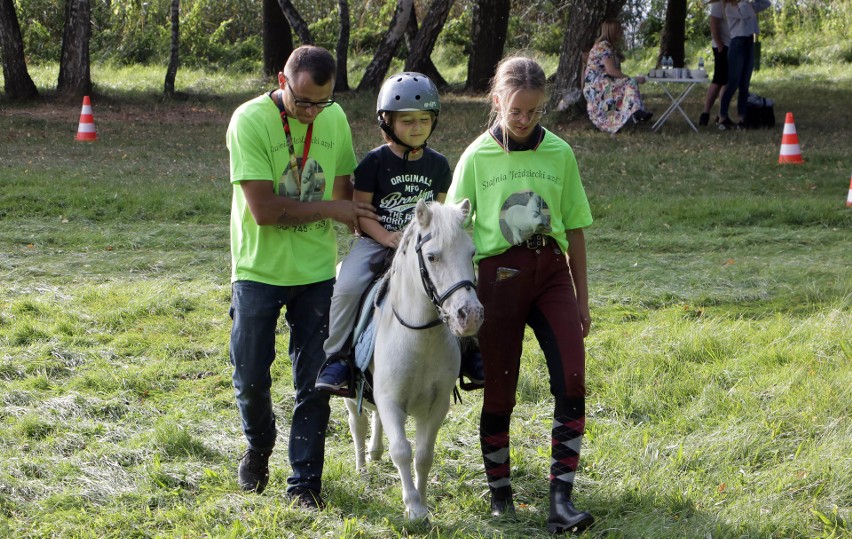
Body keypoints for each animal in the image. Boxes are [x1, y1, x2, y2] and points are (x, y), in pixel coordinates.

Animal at [342, 199, 482, 524]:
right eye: (432, 257)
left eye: (471, 253)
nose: (470, 315)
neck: (420, 338)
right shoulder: (391, 401)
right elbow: (402, 451)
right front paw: (414, 508)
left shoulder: (435, 405)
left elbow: (423, 454)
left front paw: (424, 502)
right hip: (350, 396)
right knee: (357, 424)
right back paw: (362, 469)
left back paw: (374, 452)